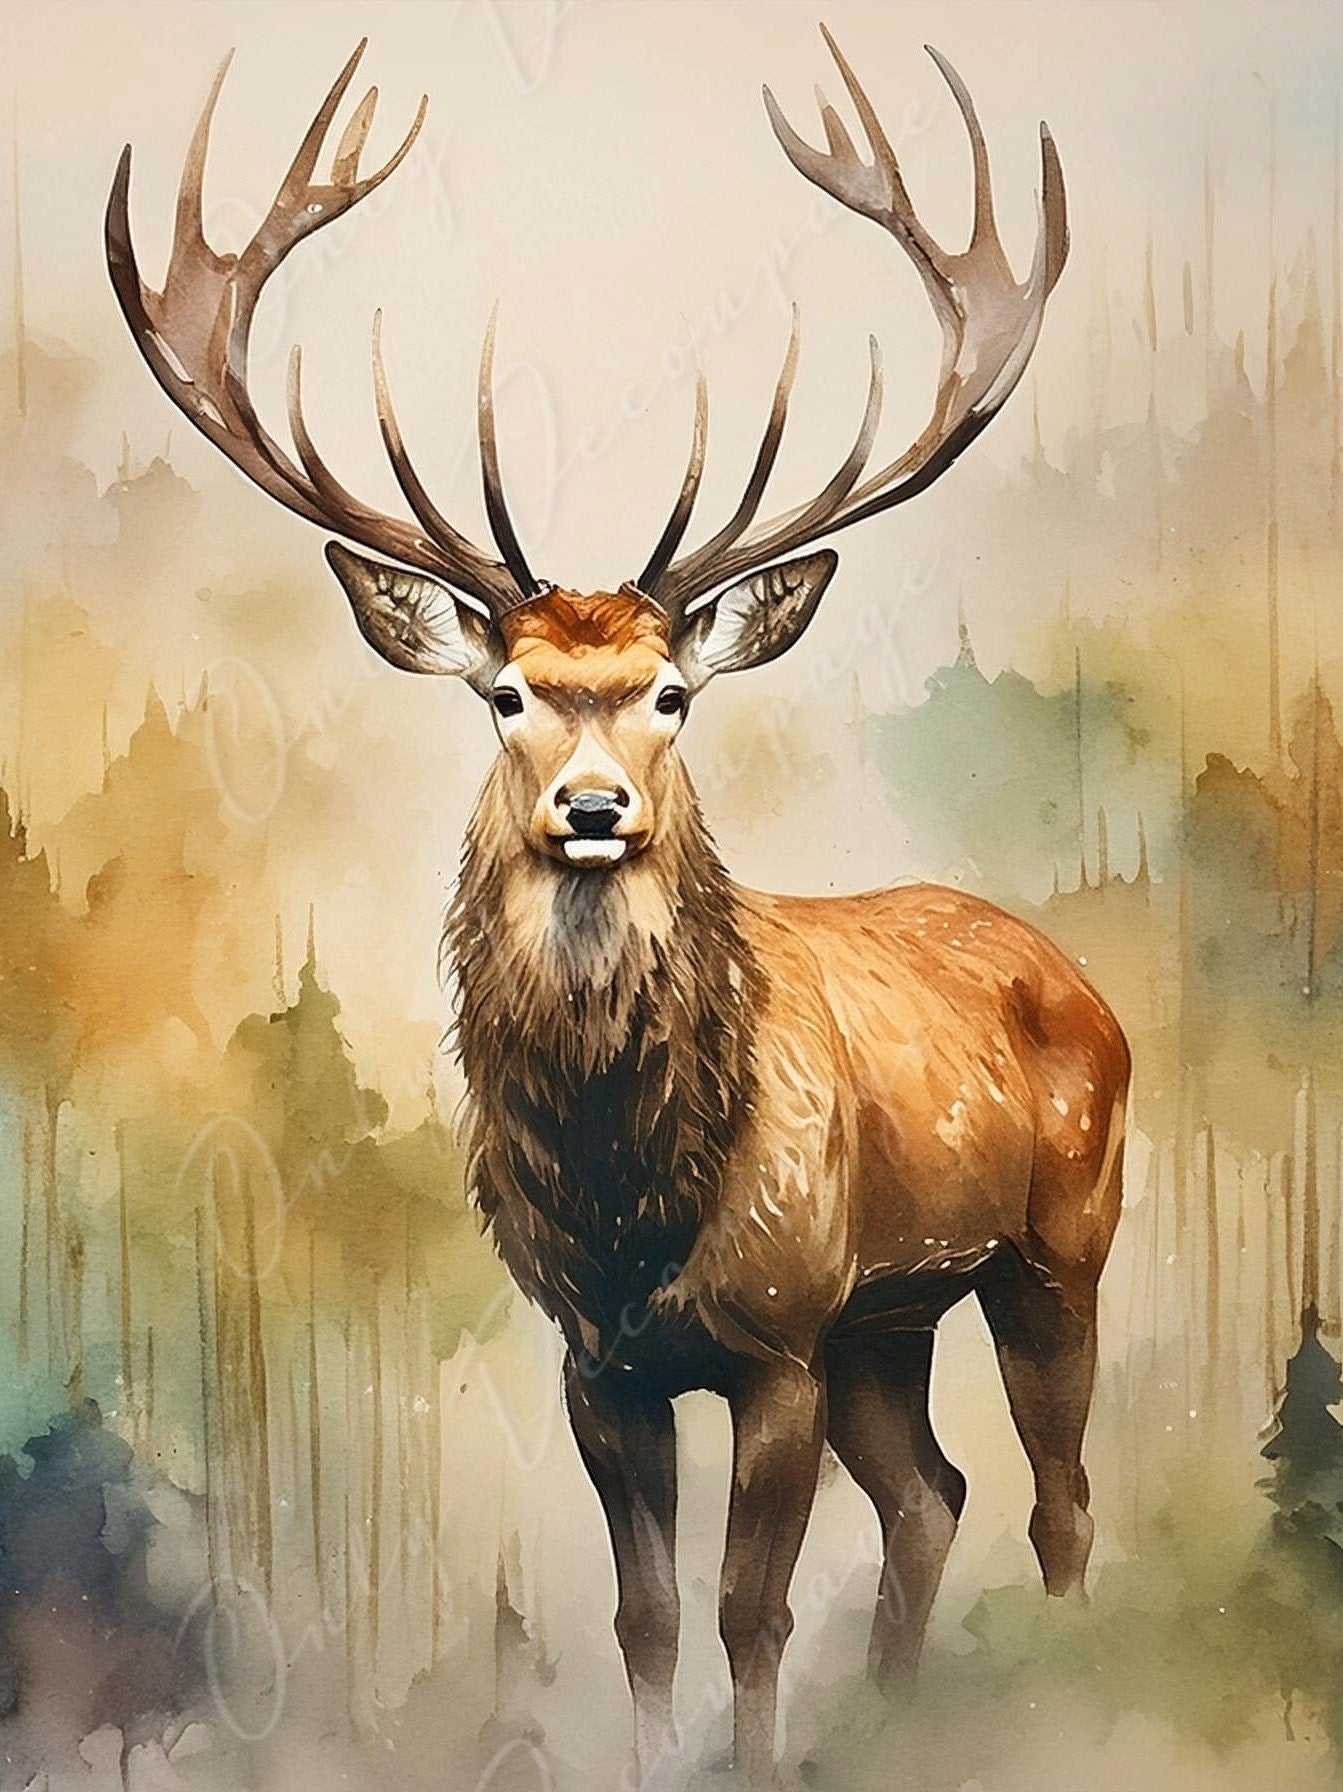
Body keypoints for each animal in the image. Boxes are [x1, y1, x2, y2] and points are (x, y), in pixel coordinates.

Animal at [107, 30, 1129, 1786]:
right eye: (507, 691)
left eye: (668, 691)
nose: (594, 810)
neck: (623, 1189)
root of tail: (1073, 973)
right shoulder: (601, 1359)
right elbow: (644, 1619)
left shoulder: (775, 1335)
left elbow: (744, 1614)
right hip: (885, 1315)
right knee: (934, 1497)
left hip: (1052, 1240)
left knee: (1056, 1501)